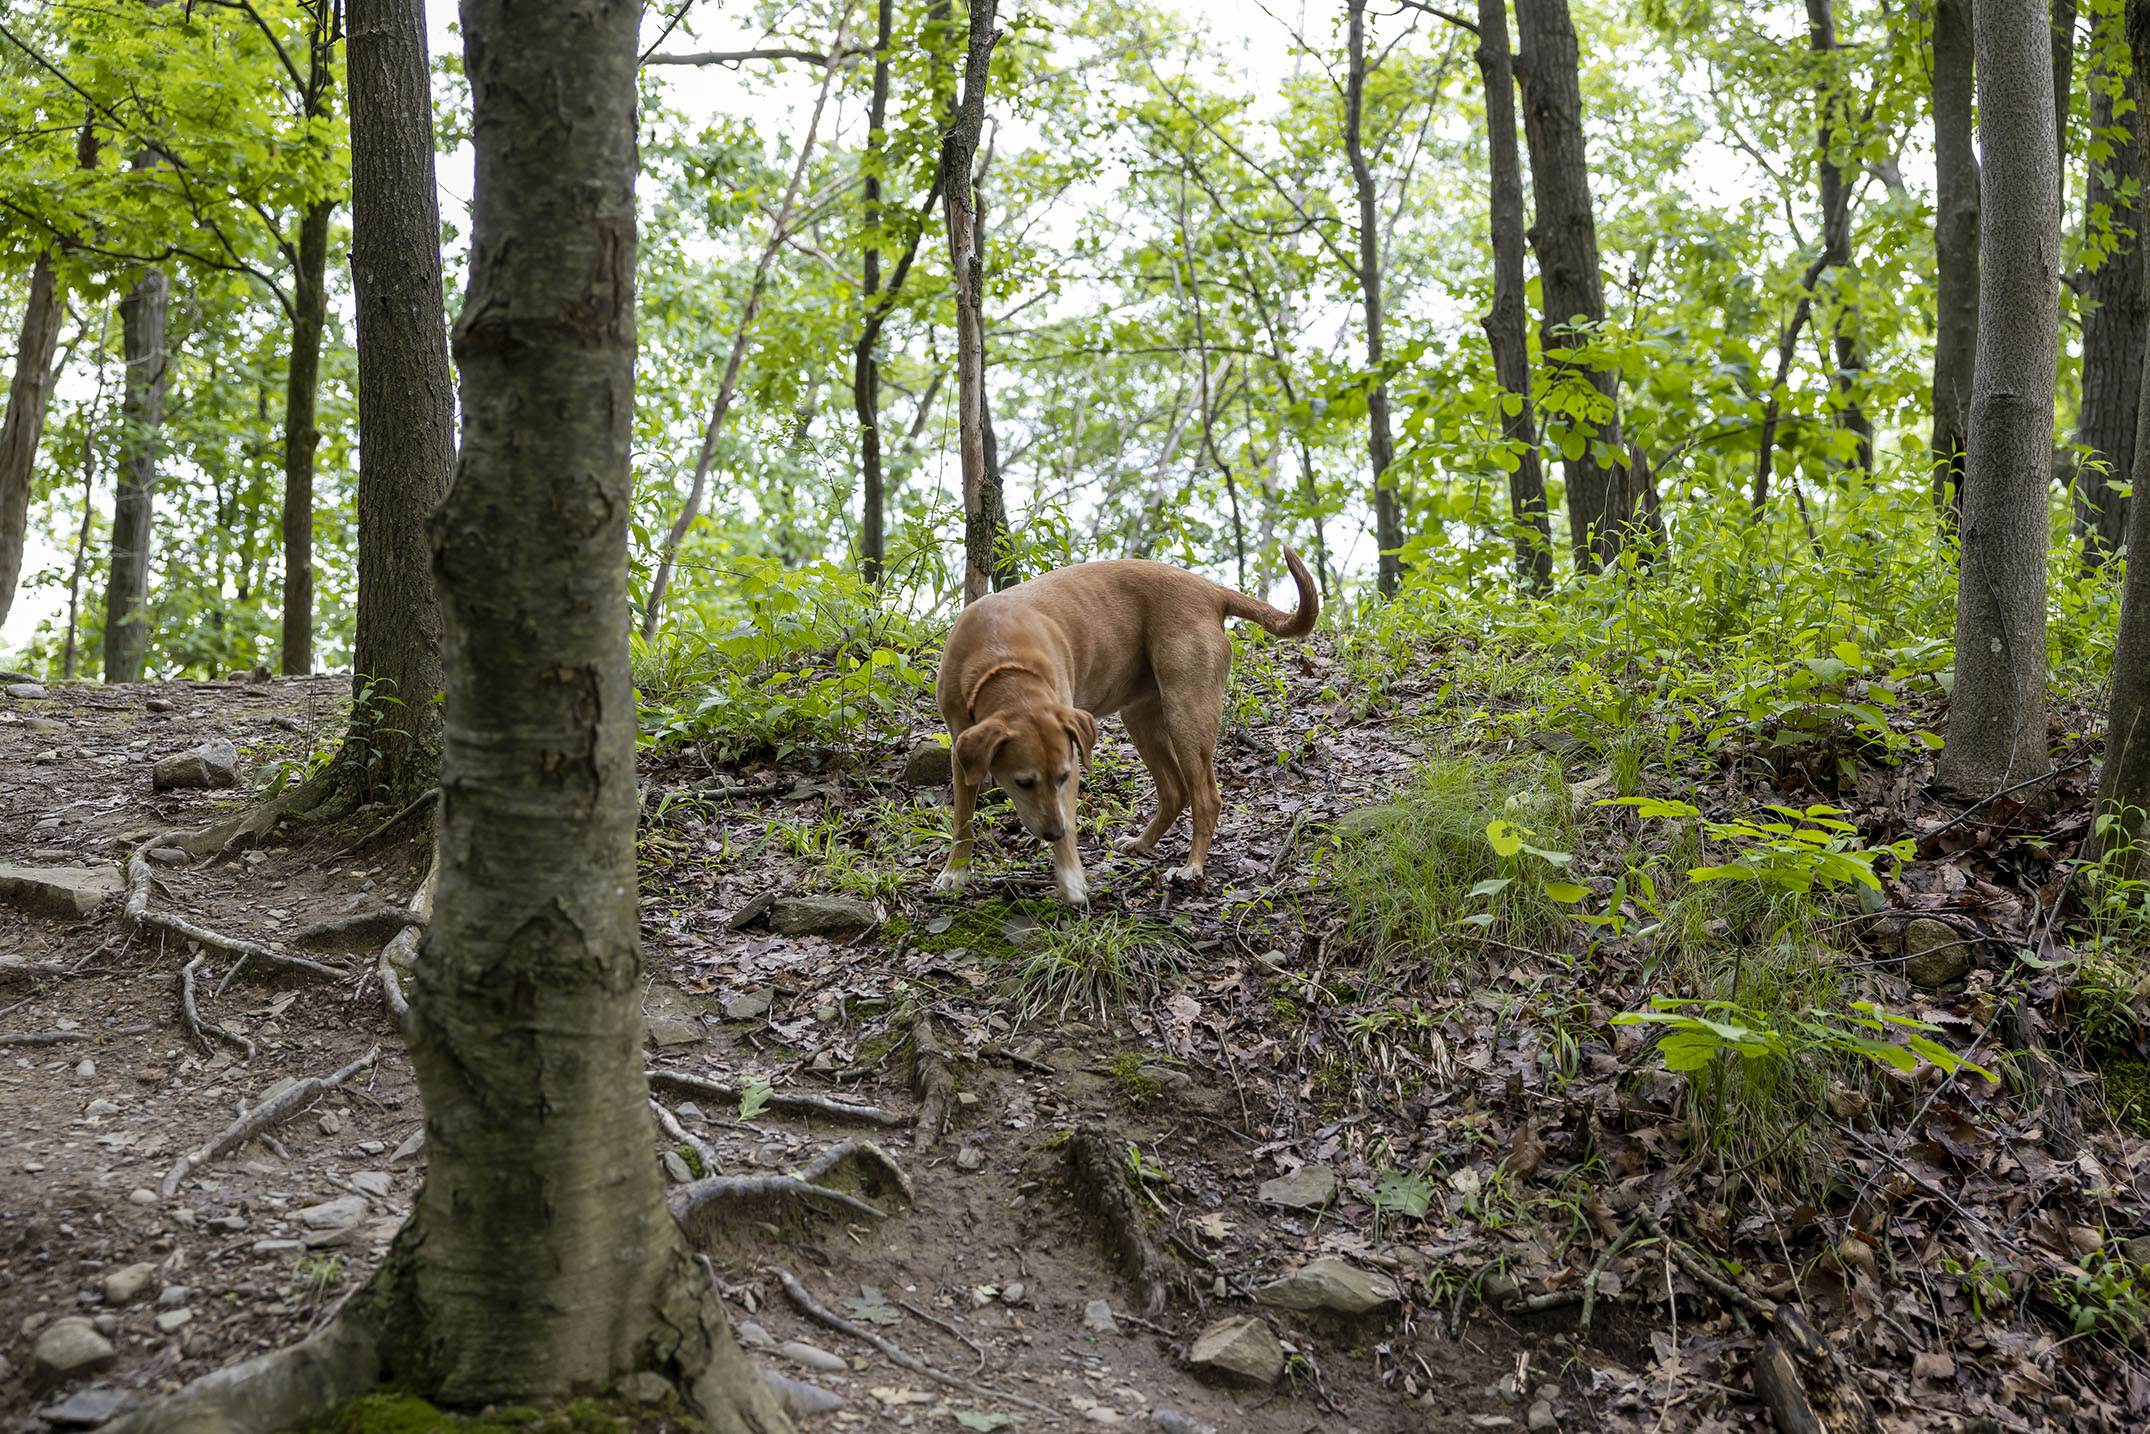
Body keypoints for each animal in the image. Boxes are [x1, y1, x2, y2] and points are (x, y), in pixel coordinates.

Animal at [932, 547, 1319, 905]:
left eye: (1061, 776)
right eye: (1023, 783)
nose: (1053, 833)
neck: (1002, 660)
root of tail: (1211, 590)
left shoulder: (1071, 758)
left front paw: (1070, 880)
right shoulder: (961, 749)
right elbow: (963, 817)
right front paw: (955, 872)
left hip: (1186, 714)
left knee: (1206, 797)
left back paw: (1191, 867)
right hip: (1141, 718)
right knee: (1174, 792)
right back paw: (1142, 843)